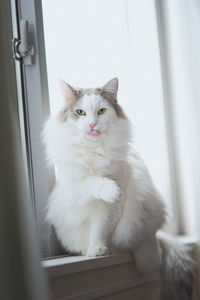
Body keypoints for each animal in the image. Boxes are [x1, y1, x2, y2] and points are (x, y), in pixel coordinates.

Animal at [42, 78, 194, 300]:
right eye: (80, 112)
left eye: (101, 111)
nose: (92, 124)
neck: (94, 151)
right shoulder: (72, 188)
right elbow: (92, 181)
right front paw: (109, 190)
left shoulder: (112, 204)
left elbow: (101, 228)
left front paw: (98, 249)